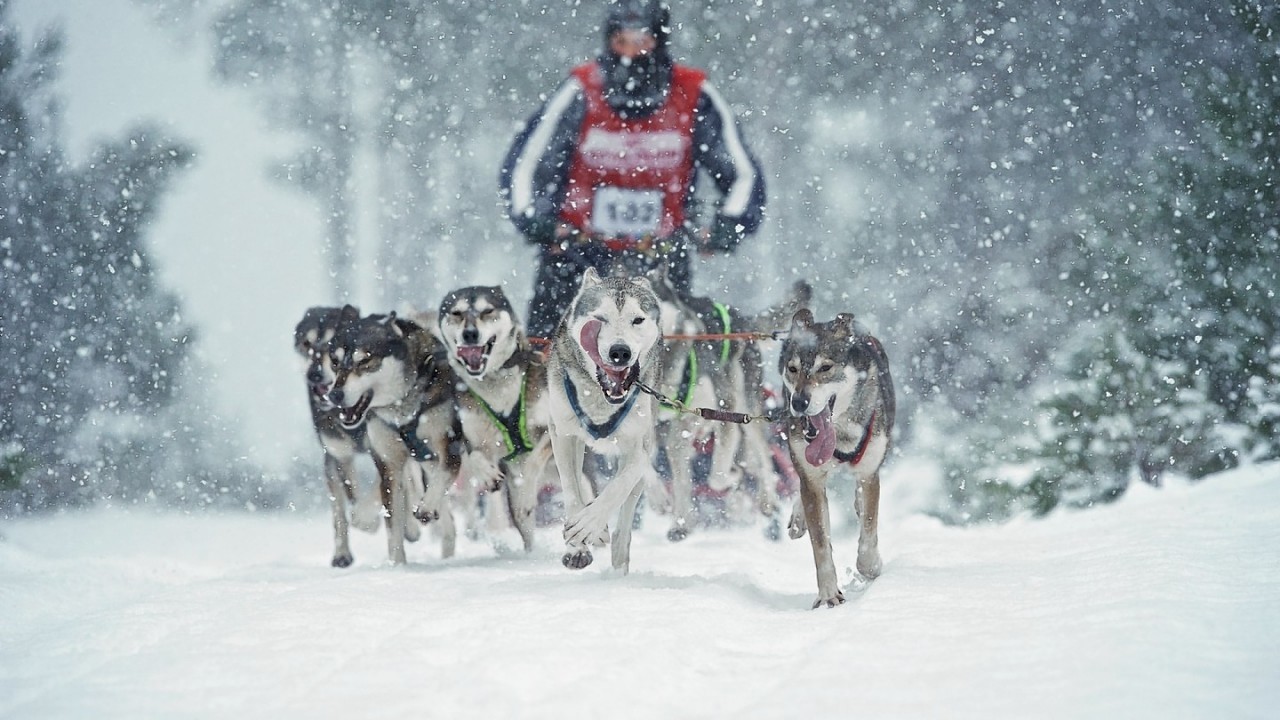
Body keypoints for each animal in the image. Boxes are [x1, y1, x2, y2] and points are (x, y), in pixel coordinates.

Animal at [542, 265, 660, 571]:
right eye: (600, 319)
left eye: (637, 319)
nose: (620, 352)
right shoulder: (563, 434)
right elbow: (571, 486)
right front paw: (578, 544)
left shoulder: (639, 448)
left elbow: (616, 488)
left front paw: (590, 524)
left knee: (624, 524)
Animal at [773, 308, 896, 604]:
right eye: (793, 369)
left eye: (825, 368)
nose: (798, 402)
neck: (839, 434)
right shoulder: (812, 479)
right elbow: (820, 544)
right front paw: (829, 595)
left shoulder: (868, 473)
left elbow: (869, 530)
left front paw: (871, 566)